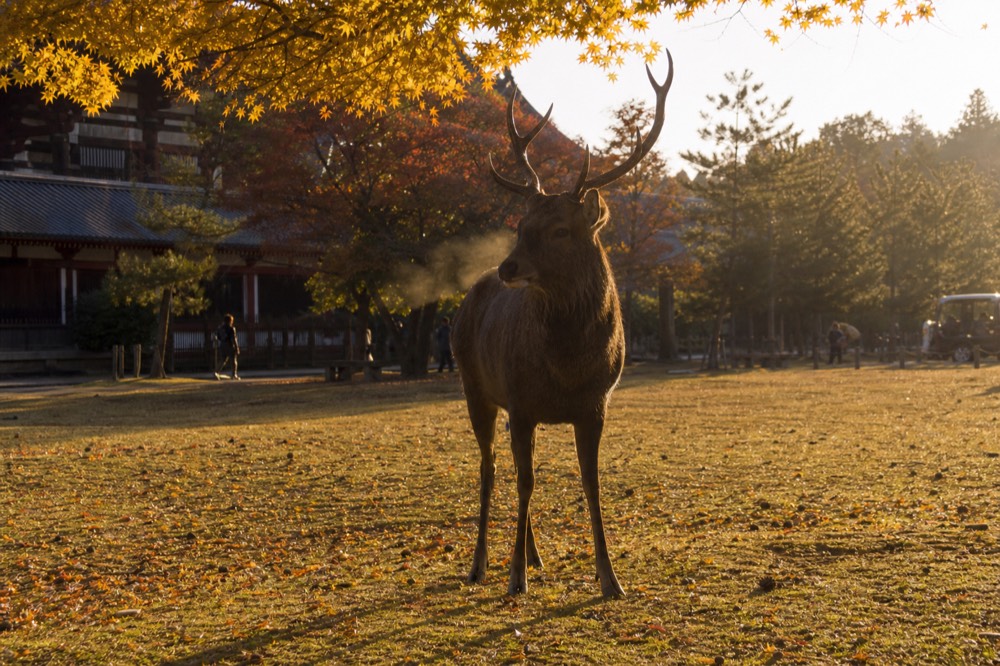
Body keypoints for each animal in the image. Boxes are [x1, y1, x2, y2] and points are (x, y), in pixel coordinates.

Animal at [450, 51, 673, 598]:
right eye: (519, 225)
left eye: (560, 230)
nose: (508, 267)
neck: (569, 366)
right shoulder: (521, 401)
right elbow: (525, 482)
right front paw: (514, 577)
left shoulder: (594, 404)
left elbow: (589, 483)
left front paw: (610, 579)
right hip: (474, 387)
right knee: (490, 469)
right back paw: (481, 564)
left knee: (512, 471)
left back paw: (535, 556)